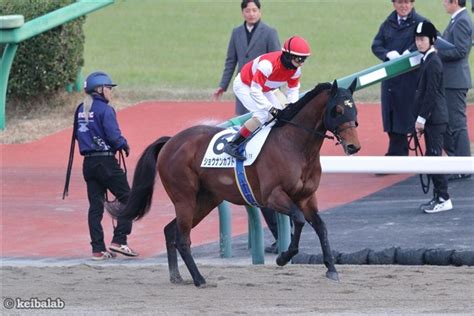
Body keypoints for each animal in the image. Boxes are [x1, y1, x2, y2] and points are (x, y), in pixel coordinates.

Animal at [122, 79, 360, 286]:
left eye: (354, 111)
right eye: (337, 110)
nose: (353, 146)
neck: (295, 146)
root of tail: (170, 141)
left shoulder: (306, 197)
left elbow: (321, 227)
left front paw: (331, 268)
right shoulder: (272, 196)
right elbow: (299, 220)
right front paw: (283, 257)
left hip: (206, 200)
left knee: (170, 230)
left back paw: (177, 276)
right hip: (184, 198)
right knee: (182, 238)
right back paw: (199, 279)